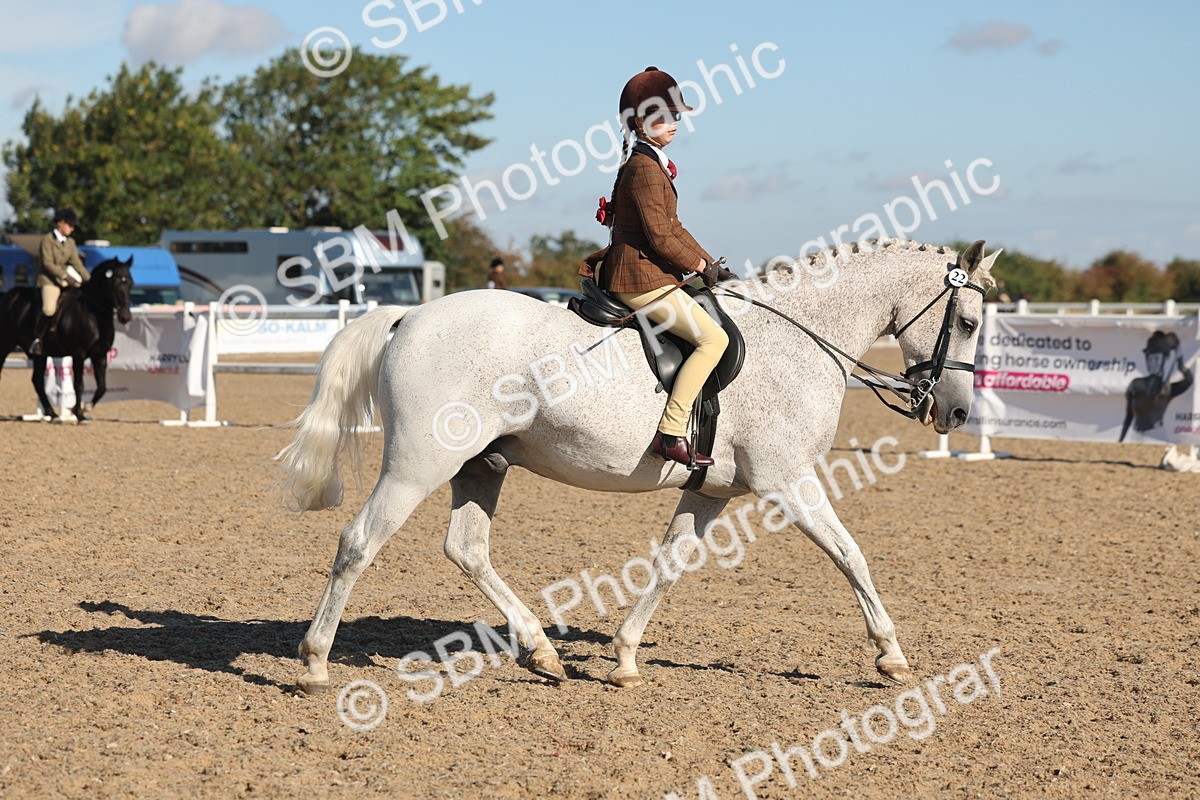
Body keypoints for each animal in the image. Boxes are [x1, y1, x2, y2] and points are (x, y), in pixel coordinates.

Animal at [0, 257, 134, 422]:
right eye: (114, 283)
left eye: (130, 283)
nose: (125, 317)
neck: (93, 315)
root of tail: (7, 295)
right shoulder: (78, 354)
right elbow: (79, 385)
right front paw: (79, 414)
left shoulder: (100, 355)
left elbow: (102, 386)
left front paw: (86, 408)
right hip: (5, 345)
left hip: (40, 356)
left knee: (37, 381)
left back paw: (52, 414)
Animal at [275, 238, 999, 693]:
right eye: (966, 322)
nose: (957, 414)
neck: (800, 338)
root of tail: (410, 317)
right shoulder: (788, 482)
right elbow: (851, 555)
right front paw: (891, 656)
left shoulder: (714, 491)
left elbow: (671, 562)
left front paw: (623, 657)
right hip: (418, 465)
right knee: (360, 542)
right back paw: (314, 665)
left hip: (482, 465)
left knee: (467, 548)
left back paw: (541, 652)